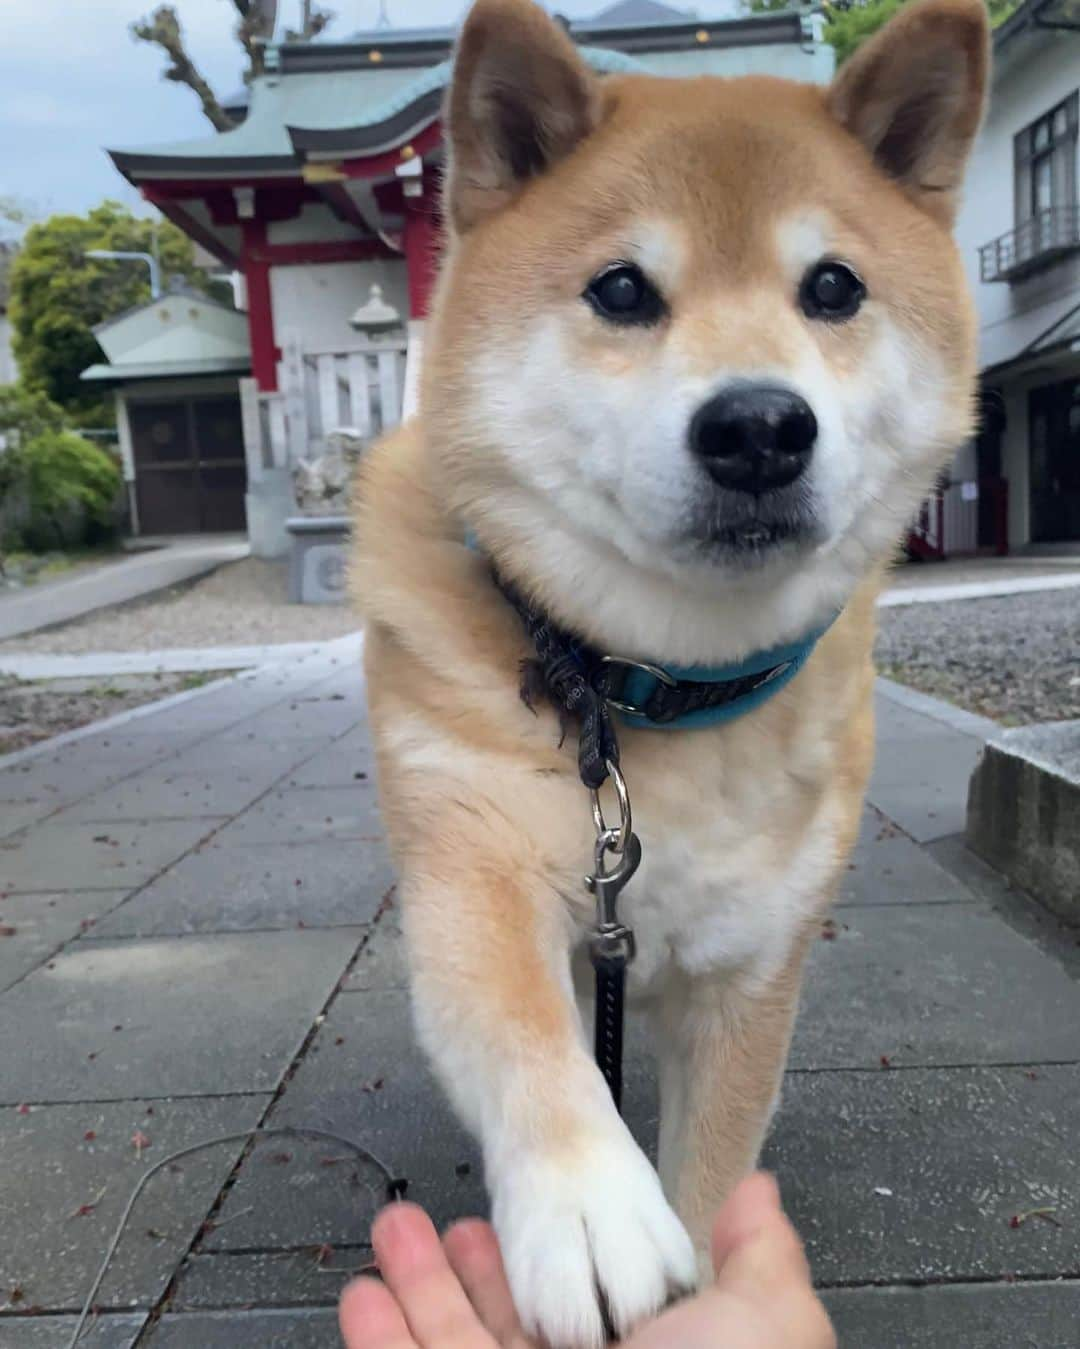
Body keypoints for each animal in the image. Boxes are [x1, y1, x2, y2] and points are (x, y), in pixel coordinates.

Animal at [350, 5, 986, 1343]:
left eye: (833, 286)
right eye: (622, 289)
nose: (758, 427)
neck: (641, 688)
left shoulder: (754, 963)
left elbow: (710, 1166)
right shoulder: (473, 864)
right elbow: (532, 1040)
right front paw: (591, 1205)